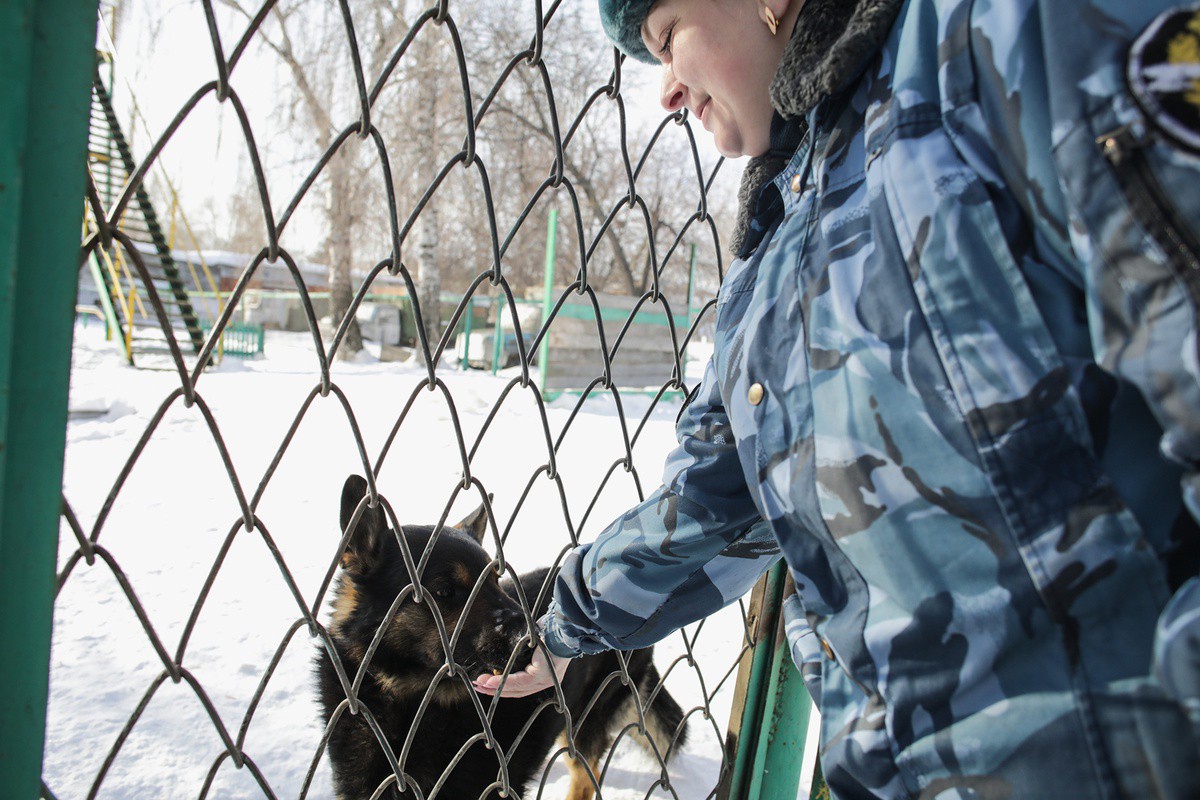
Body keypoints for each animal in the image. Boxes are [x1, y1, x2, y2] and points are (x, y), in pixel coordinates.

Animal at [319, 474, 691, 800]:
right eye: (444, 592)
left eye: (495, 582)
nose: (536, 639)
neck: (412, 697)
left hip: (587, 718)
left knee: (586, 775)